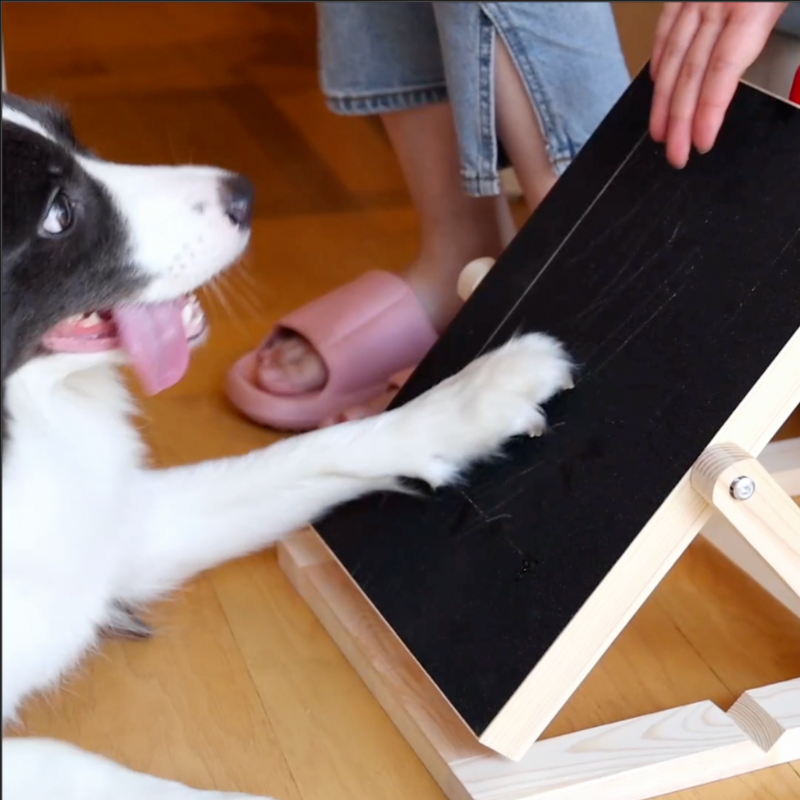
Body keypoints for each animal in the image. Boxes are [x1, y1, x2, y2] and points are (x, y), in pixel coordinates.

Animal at [1, 95, 576, 800]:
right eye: (58, 214)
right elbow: (74, 762)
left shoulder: (112, 527)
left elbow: (307, 453)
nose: (243, 194)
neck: (21, 426)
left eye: (70, 133)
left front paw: (477, 396)